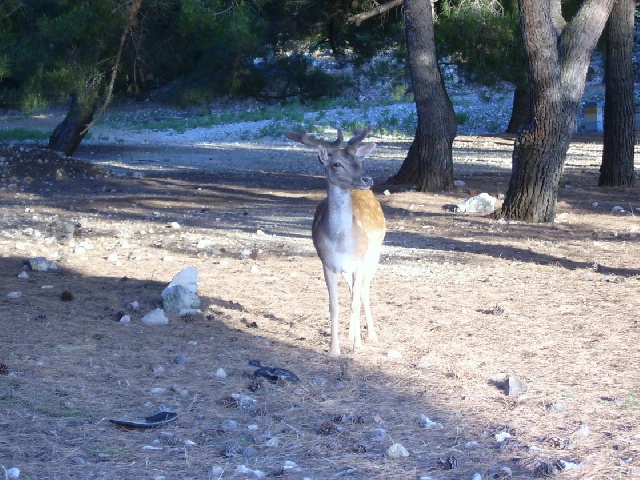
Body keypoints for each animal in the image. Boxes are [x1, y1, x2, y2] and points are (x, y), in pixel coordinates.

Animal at [284, 125, 384, 354]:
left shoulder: (359, 263)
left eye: (360, 161)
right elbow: (334, 305)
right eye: (336, 163)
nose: (367, 179)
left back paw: (370, 335)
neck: (340, 241)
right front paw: (334, 350)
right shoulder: (327, 263)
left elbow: (355, 302)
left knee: (364, 291)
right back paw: (350, 335)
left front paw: (358, 346)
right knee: (352, 291)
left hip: (374, 254)